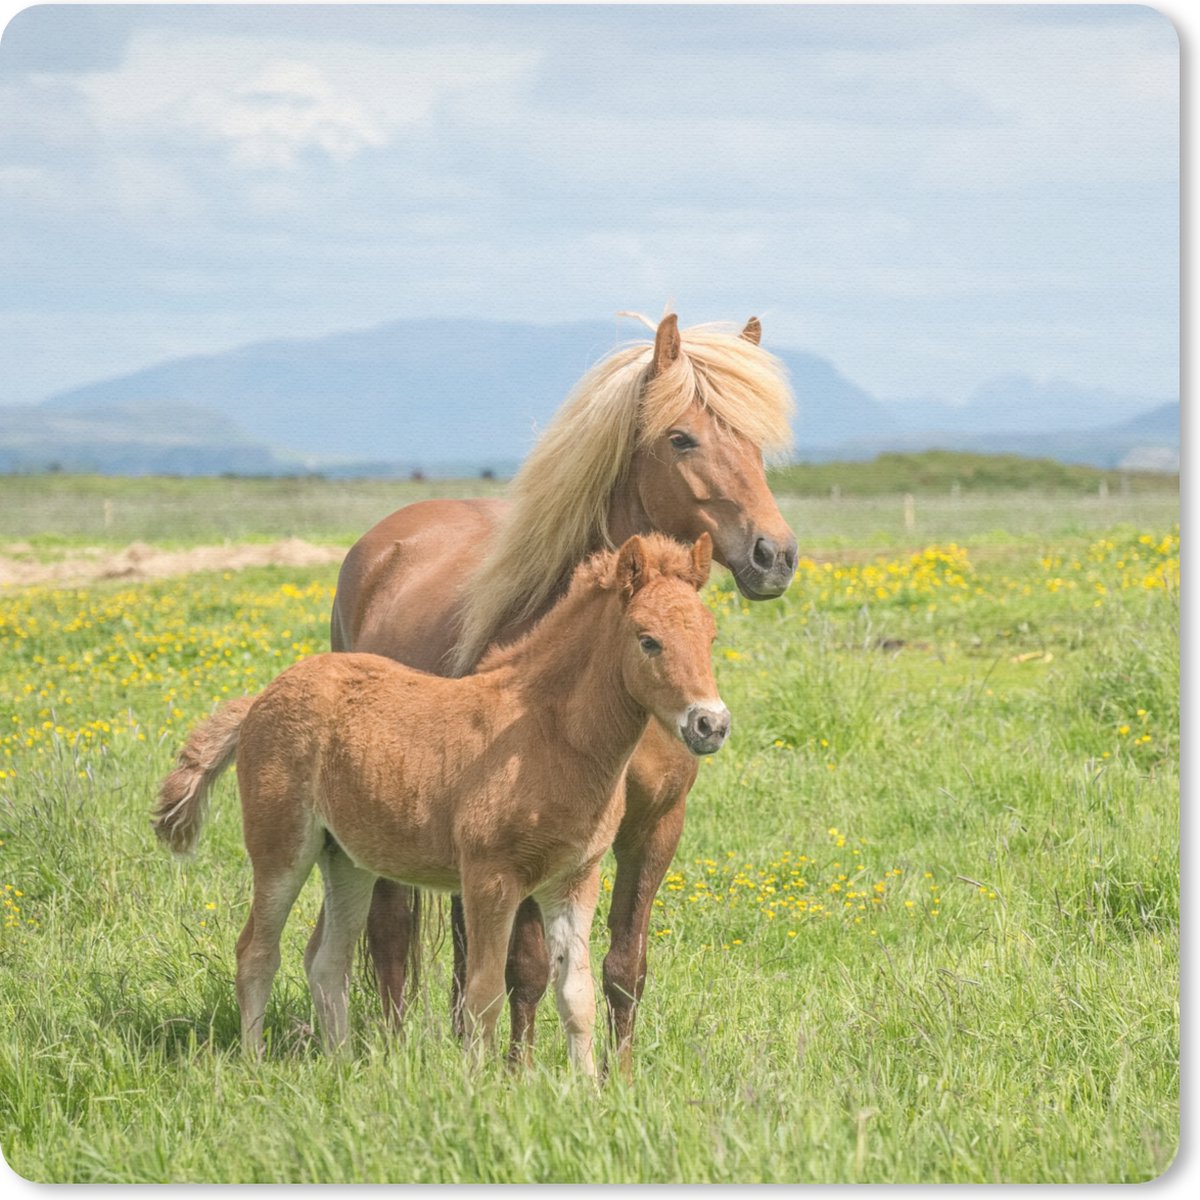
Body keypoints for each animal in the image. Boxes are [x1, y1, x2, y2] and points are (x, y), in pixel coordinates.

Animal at [152, 533, 726, 1073]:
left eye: (711, 636)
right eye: (648, 640)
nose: (711, 724)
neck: (547, 735)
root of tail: (261, 699)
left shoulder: (573, 879)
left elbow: (576, 994)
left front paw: (586, 1090)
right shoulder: (490, 878)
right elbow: (483, 994)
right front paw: (479, 1087)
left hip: (347, 859)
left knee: (326, 960)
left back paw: (342, 1067)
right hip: (282, 848)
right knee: (256, 951)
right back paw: (254, 1064)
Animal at [329, 312, 797, 1077]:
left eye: (756, 440)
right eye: (681, 437)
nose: (774, 556)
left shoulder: (654, 829)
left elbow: (624, 967)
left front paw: (623, 1076)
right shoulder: (531, 837)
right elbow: (526, 968)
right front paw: (517, 1074)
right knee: (393, 930)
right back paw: (396, 1049)